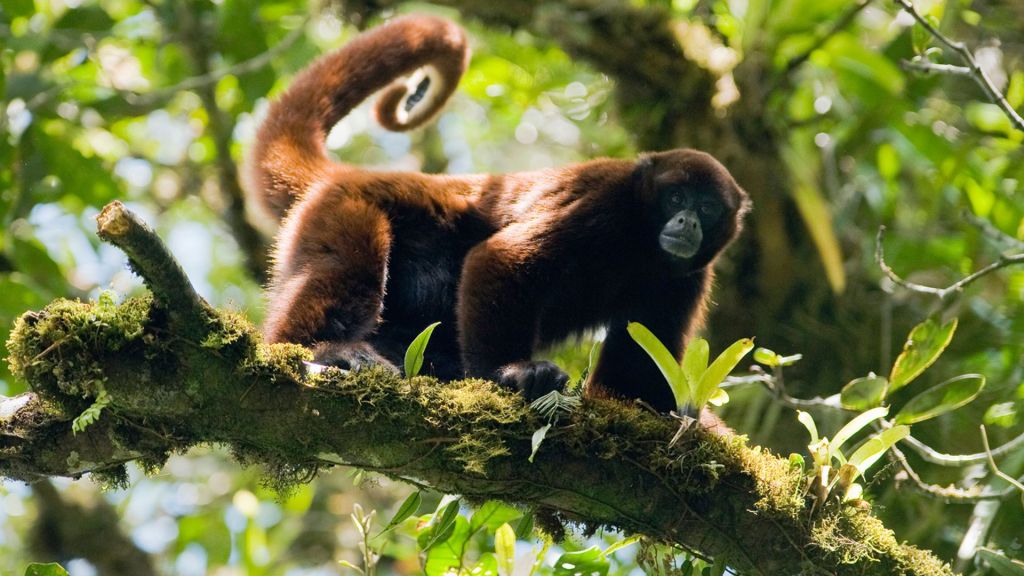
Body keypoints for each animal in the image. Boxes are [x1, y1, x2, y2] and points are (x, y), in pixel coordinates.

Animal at [246, 15, 749, 412]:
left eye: (707, 207)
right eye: (676, 198)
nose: (687, 222)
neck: (640, 240)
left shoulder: (687, 279)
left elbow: (634, 373)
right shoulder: (603, 203)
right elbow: (503, 258)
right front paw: (512, 374)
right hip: (342, 208)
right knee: (347, 265)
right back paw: (326, 349)